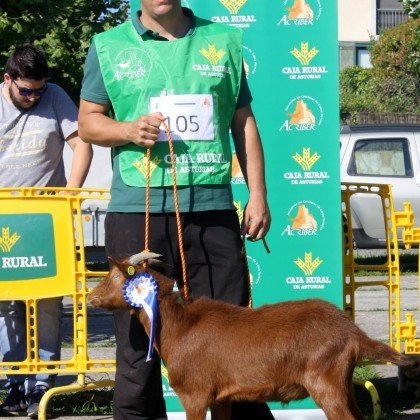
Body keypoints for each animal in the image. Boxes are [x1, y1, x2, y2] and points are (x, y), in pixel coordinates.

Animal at [89, 253, 410, 420]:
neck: (179, 327)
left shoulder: (194, 394)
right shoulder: (220, 397)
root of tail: (352, 331)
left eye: (115, 276)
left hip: (326, 381)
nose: (90, 296)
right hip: (341, 383)